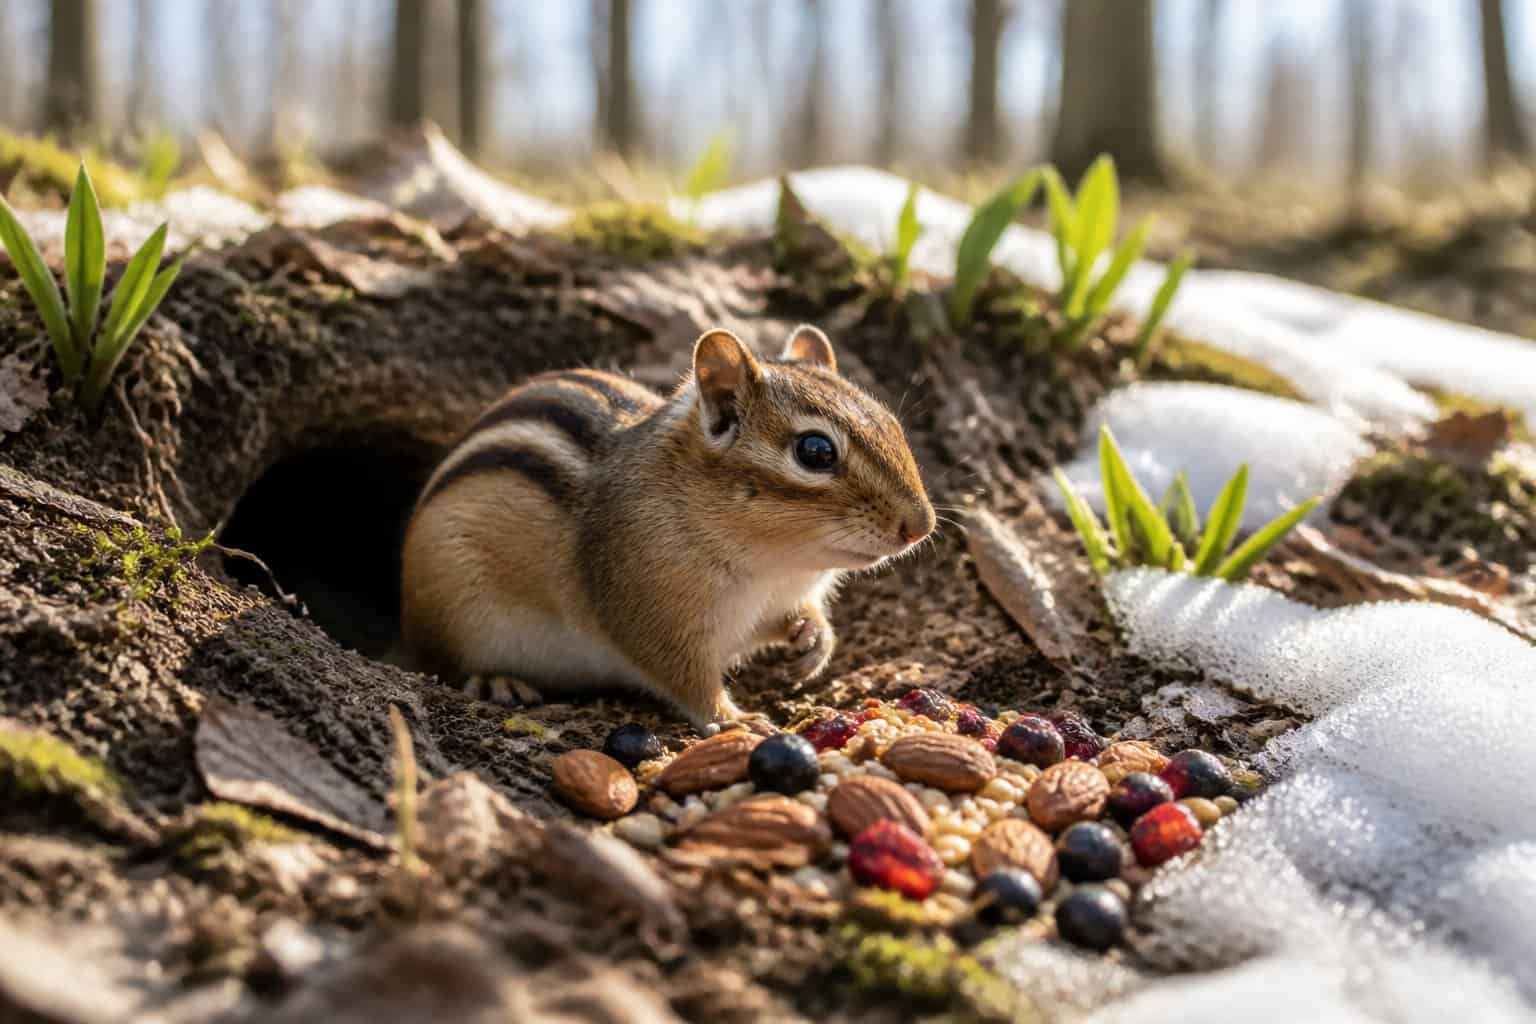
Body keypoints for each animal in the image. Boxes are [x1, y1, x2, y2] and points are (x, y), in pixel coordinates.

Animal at [399, 324, 935, 731]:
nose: (921, 526)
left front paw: (813, 639)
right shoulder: (651, 619)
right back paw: (497, 680)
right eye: (816, 451)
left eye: (891, 424)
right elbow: (686, 680)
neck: (774, 566)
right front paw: (735, 719)